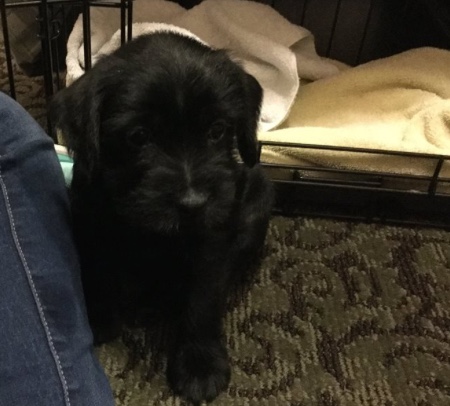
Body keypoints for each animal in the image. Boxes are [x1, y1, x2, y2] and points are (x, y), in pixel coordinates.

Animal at [51, 31, 272, 402]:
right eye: (139, 136)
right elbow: (95, 270)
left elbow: (203, 299)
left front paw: (200, 364)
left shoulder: (211, 240)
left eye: (217, 130)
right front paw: (98, 317)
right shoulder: (89, 221)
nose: (193, 202)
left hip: (257, 201)